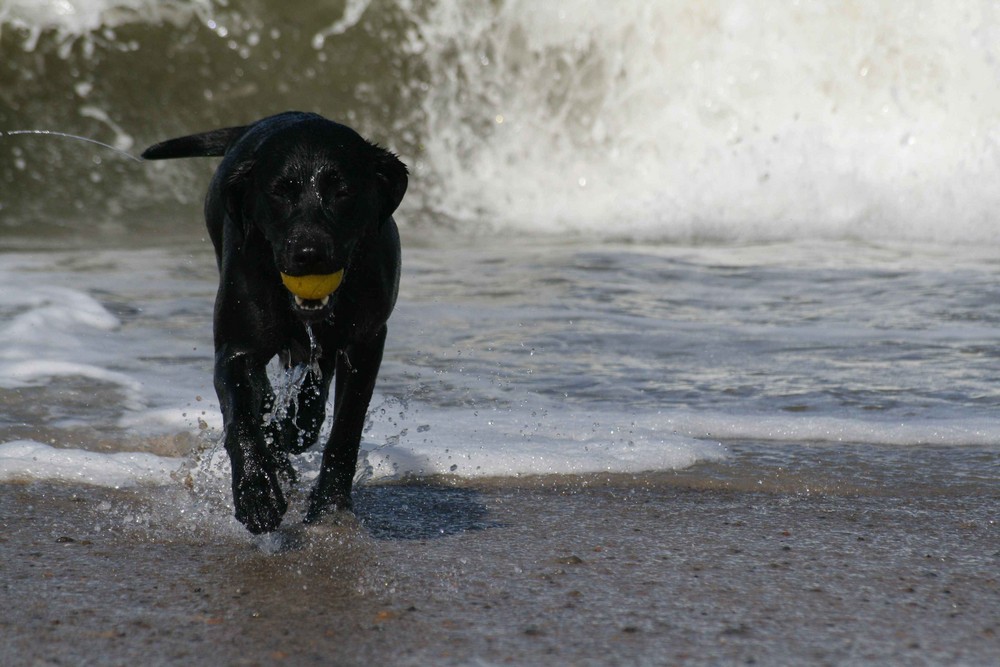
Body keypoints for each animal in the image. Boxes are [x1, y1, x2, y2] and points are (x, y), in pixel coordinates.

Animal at [142, 112, 406, 536]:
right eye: (280, 192)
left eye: (343, 191)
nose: (310, 253)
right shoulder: (235, 347)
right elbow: (241, 417)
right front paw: (256, 492)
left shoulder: (365, 342)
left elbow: (346, 428)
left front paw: (330, 504)